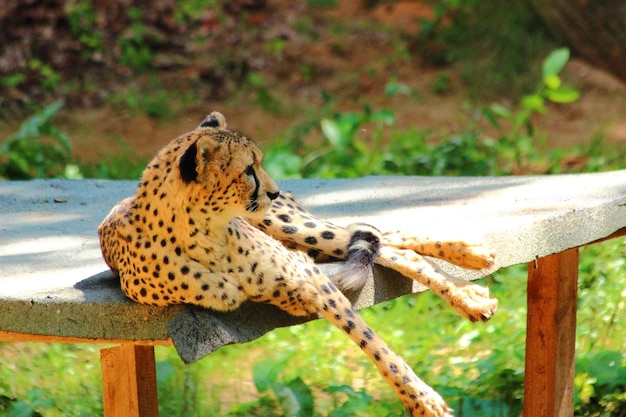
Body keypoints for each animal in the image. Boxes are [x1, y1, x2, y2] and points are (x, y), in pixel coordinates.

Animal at [98, 111, 498, 416]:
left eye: (259, 163)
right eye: (248, 170)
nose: (273, 191)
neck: (204, 234)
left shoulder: (305, 274)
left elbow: (370, 339)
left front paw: (420, 399)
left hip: (292, 226)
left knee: (384, 239)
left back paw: (469, 265)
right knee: (379, 241)